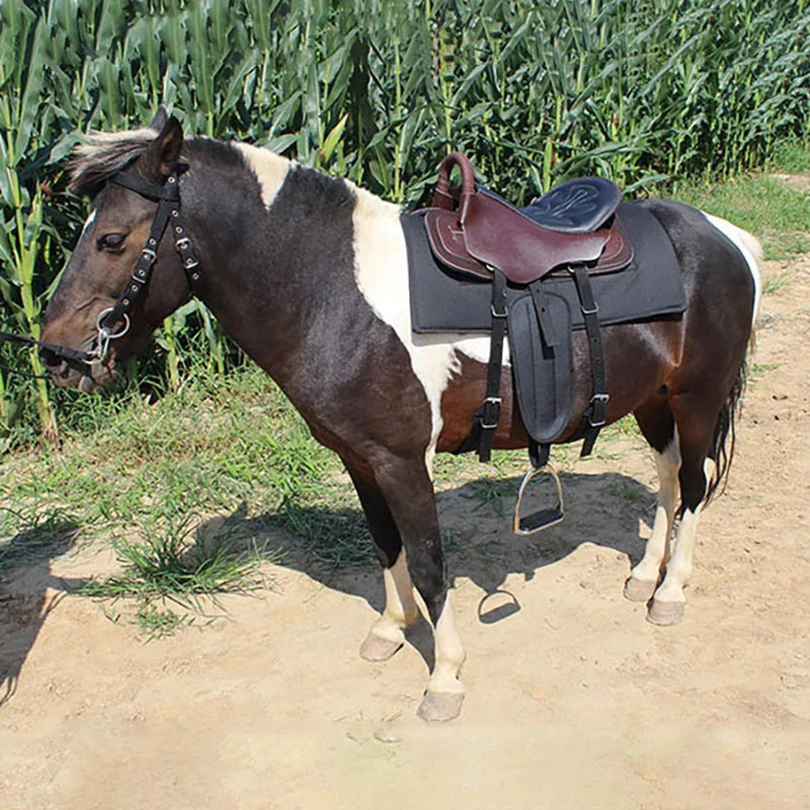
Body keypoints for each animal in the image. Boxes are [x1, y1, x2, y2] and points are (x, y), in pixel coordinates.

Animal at [39, 110, 760, 722]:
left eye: (111, 238)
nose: (55, 355)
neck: (334, 291)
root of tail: (727, 237)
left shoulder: (403, 462)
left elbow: (430, 564)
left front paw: (445, 678)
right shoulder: (359, 459)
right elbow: (387, 547)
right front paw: (391, 628)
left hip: (695, 398)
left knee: (693, 486)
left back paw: (670, 594)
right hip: (654, 402)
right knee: (668, 482)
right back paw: (644, 577)